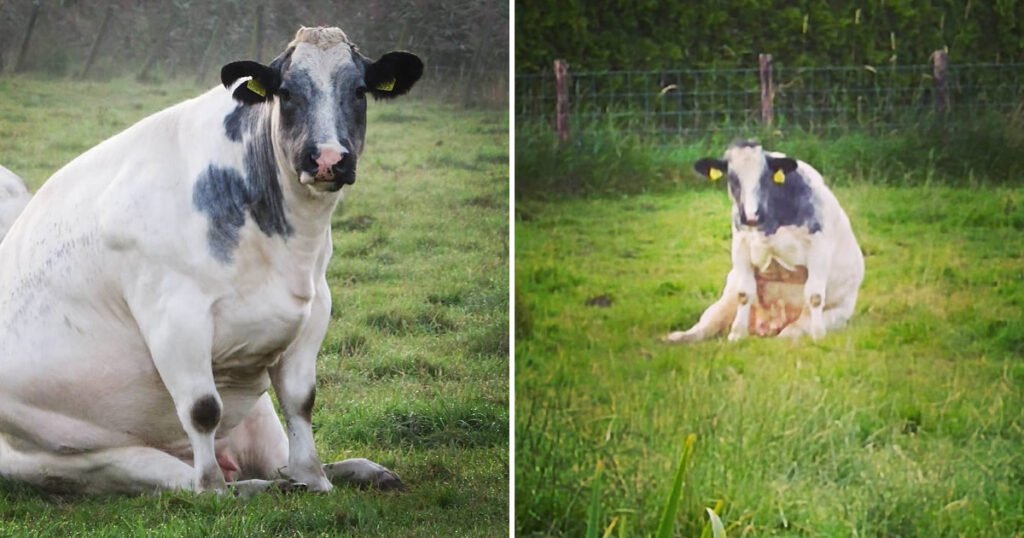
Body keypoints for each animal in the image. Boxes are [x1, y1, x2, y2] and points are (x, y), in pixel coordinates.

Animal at [0, 27, 423, 496]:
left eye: (359, 91)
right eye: (287, 93)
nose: (328, 159)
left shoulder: (315, 309)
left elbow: (301, 401)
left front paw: (315, 479)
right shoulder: (175, 316)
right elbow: (202, 408)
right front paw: (215, 491)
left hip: (258, 418)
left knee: (277, 462)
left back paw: (349, 472)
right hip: (100, 461)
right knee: (193, 476)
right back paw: (242, 487)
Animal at [665, 141, 864, 343]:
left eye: (765, 178)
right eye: (732, 178)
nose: (751, 216)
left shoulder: (819, 247)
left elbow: (814, 296)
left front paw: (818, 335)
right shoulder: (740, 245)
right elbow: (744, 294)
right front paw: (737, 334)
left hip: (837, 315)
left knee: (794, 329)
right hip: (725, 298)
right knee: (707, 324)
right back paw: (679, 337)